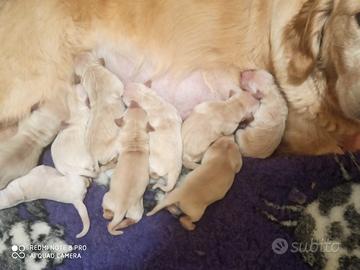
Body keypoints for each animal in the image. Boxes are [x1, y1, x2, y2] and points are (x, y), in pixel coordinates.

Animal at [100, 102, 154, 236]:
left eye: (127, 109)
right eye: (143, 110)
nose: (134, 102)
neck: (135, 135)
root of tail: (121, 209)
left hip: (107, 198)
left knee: (108, 216)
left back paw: (108, 216)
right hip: (137, 212)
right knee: (128, 221)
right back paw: (119, 226)